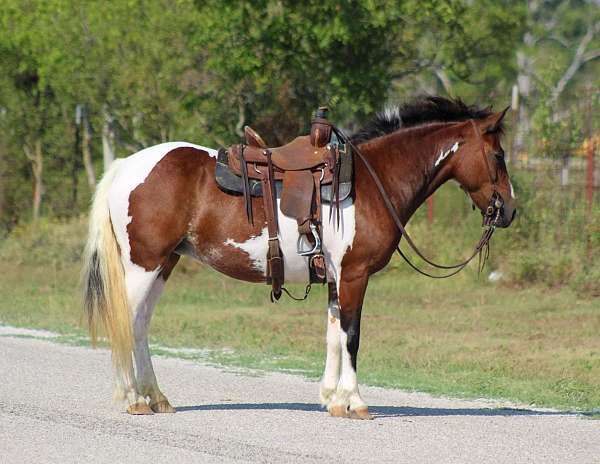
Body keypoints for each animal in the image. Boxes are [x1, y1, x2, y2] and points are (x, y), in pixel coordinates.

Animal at [82, 96, 516, 418]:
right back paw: (134, 398)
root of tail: (125, 165)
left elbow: (333, 334)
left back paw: (155, 397)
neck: (372, 181)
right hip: (144, 266)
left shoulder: (337, 278)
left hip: (163, 265)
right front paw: (355, 402)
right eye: (498, 156)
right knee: (126, 321)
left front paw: (331, 398)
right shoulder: (355, 275)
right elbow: (352, 336)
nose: (509, 210)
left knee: (140, 326)